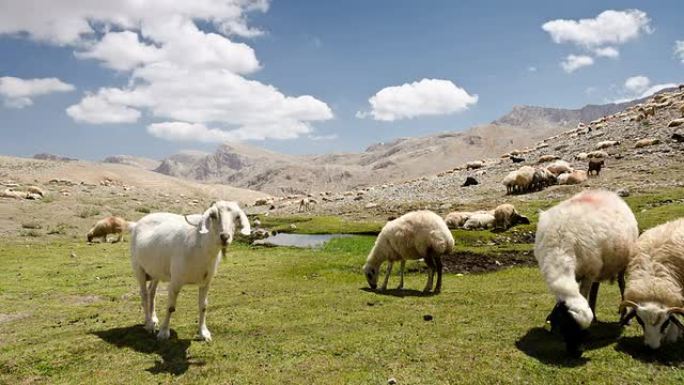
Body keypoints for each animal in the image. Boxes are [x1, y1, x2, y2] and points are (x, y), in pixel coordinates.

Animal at [130, 201, 251, 340]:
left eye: (237, 217)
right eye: (213, 215)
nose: (225, 237)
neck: (199, 245)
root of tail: (137, 223)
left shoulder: (206, 282)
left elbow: (203, 306)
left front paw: (204, 333)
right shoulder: (175, 281)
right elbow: (170, 307)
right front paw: (164, 333)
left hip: (156, 270)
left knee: (152, 292)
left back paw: (153, 319)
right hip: (138, 268)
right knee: (144, 294)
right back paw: (149, 324)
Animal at [532, 190, 640, 356]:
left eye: (583, 333)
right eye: (566, 327)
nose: (576, 352)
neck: (559, 248)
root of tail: (606, 193)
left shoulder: (588, 274)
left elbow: (584, 294)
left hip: (621, 262)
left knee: (622, 283)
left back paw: (624, 315)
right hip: (599, 266)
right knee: (596, 287)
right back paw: (595, 315)